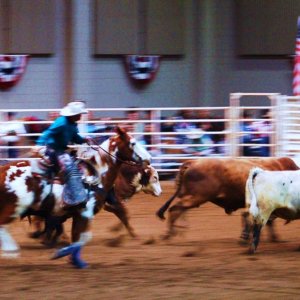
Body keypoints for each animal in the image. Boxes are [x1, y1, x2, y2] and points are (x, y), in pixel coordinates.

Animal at [0, 126, 150, 268]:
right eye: (133, 143)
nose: (148, 159)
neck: (95, 175)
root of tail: (3, 170)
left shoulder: (76, 214)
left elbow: (77, 237)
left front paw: (75, 260)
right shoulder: (85, 212)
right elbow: (83, 237)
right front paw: (63, 254)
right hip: (13, 208)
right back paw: (12, 251)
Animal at [157, 157, 300, 239]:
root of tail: (192, 162)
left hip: (192, 197)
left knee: (178, 209)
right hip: (197, 197)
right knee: (175, 209)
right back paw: (169, 233)